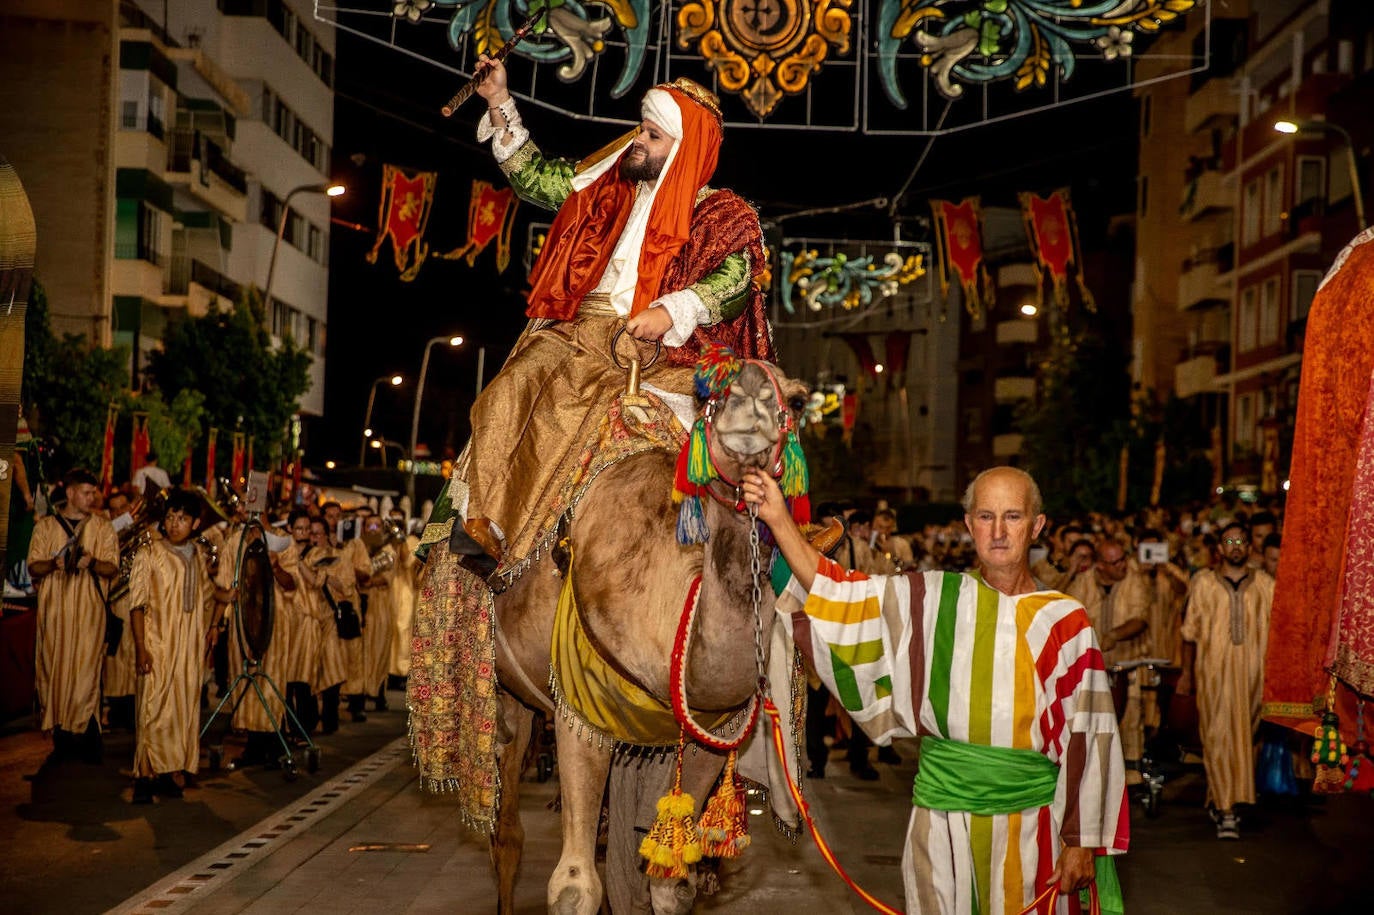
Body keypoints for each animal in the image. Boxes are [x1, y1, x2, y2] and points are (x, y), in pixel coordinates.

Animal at [480, 357, 802, 912]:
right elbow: (574, 886)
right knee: (508, 831)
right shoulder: (579, 712)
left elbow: (671, 883)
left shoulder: (709, 734)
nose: (750, 399)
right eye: (709, 390)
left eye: (799, 399)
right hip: (505, 691)